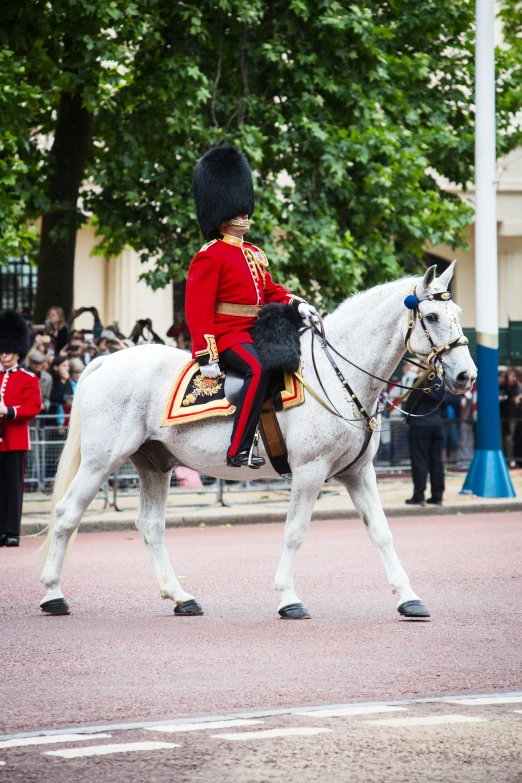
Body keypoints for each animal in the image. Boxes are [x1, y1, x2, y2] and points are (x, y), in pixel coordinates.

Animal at [38, 264, 474, 620]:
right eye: (431, 316)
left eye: (458, 315)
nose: (466, 376)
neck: (338, 377)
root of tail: (107, 360)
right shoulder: (310, 471)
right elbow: (295, 531)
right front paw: (288, 598)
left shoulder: (358, 472)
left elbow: (381, 532)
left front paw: (408, 598)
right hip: (101, 460)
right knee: (67, 513)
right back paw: (53, 595)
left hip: (154, 464)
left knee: (151, 526)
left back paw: (180, 597)